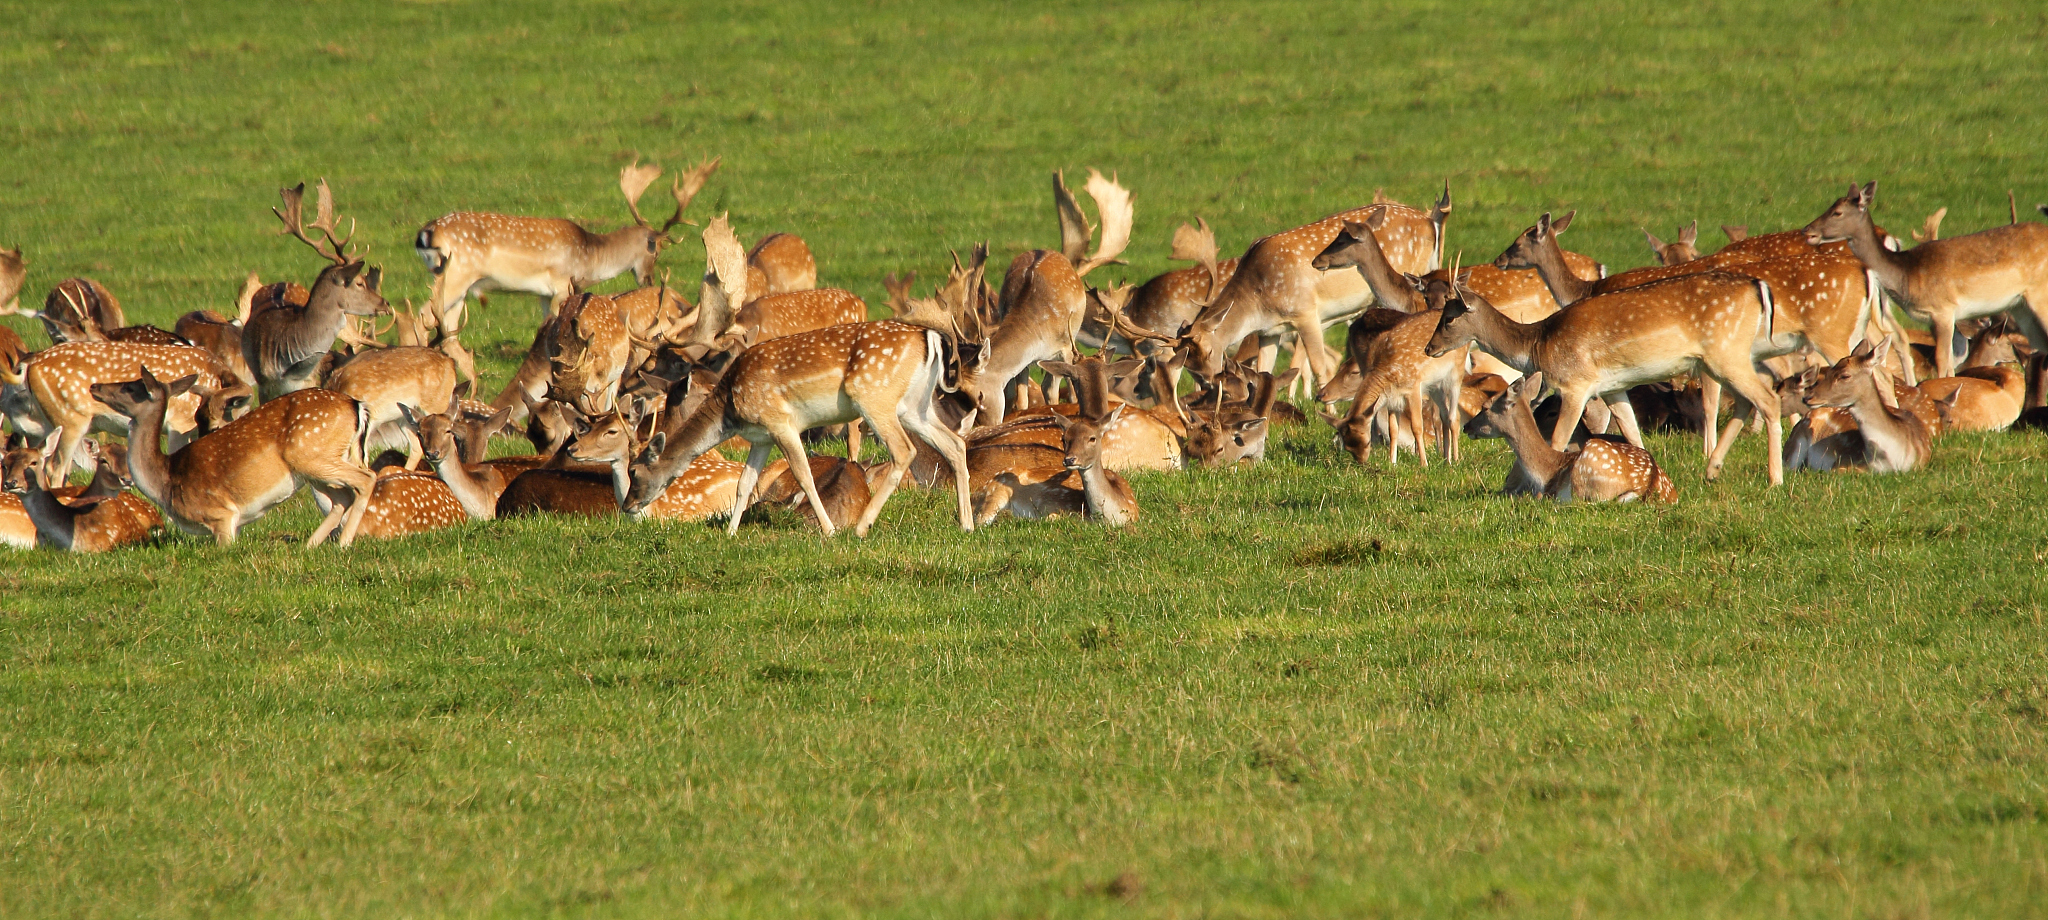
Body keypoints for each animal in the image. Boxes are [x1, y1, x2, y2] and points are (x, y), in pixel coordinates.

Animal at [89, 368, 378, 546]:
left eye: (130, 387)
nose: (95, 385)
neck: (165, 481)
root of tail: (357, 406)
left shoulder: (222, 516)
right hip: (316, 466)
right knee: (343, 496)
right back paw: (309, 545)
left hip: (311, 456)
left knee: (367, 478)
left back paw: (343, 543)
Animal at [416, 158, 718, 328]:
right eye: (654, 251)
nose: (649, 280)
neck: (588, 256)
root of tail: (426, 234)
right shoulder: (561, 283)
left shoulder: (542, 293)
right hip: (456, 273)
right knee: (424, 316)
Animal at [1179, 185, 1451, 398]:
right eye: (1188, 364)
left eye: (1210, 351)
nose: (1208, 384)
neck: (1258, 300)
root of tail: (1431, 222)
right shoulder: (1269, 332)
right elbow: (1263, 370)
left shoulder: (1306, 312)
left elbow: (1318, 366)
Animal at [1425, 268, 1787, 485]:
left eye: (1448, 318)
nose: (1429, 348)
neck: (1536, 344)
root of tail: (1758, 286)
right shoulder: (1613, 387)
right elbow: (1633, 434)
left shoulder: (1576, 385)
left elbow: (1558, 439)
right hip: (1723, 359)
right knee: (1746, 401)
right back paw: (1712, 469)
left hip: (1726, 352)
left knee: (1769, 399)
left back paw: (1775, 478)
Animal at [1803, 182, 2048, 381]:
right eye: (1830, 206)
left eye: (1837, 212)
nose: (1808, 230)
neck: (1906, 274)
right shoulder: (1933, 318)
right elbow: (1948, 363)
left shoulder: (1943, 310)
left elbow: (1942, 361)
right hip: (2020, 307)